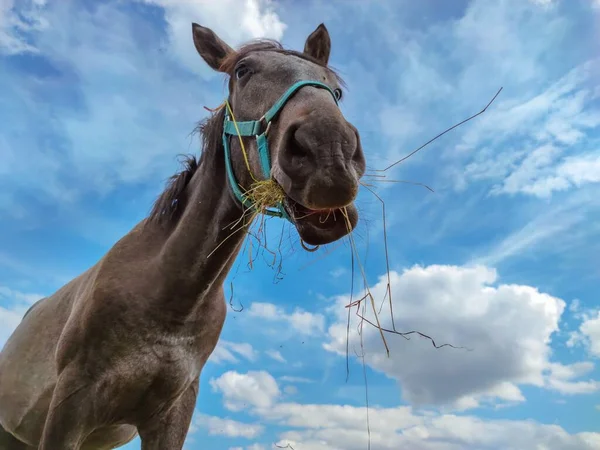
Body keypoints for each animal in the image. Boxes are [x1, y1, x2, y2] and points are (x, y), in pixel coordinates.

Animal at [0, 22, 366, 450]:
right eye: (242, 71)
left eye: (336, 91)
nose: (330, 153)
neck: (171, 298)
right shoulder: (70, 406)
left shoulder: (171, 415)